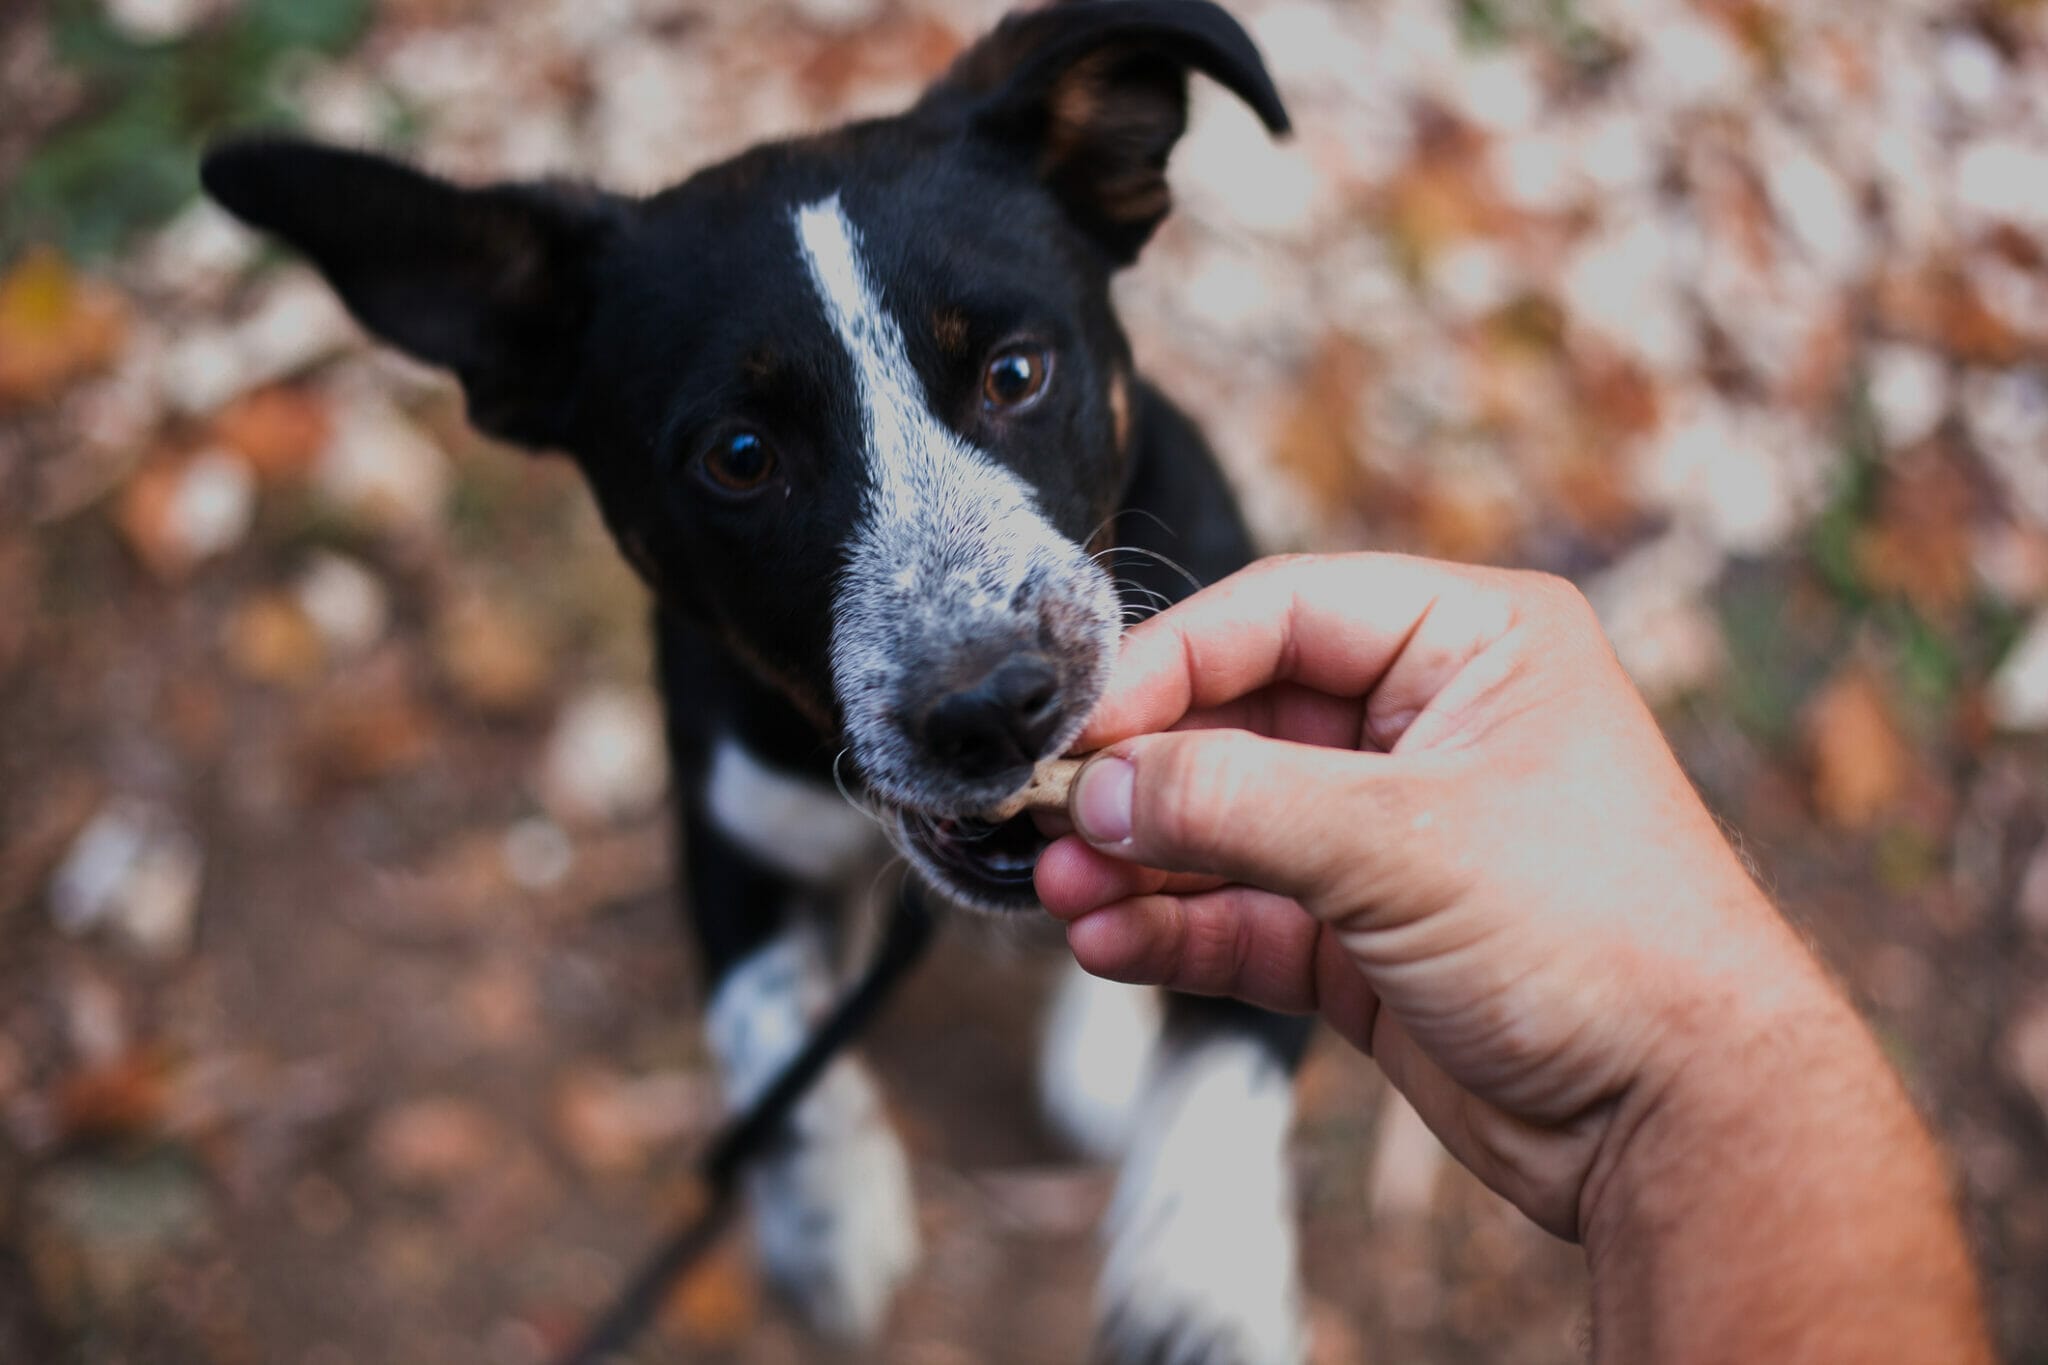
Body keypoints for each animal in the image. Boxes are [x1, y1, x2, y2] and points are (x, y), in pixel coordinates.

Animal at [203, 5, 1310, 1358]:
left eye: (1013, 373)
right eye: (739, 455)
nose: (994, 707)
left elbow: (1226, 1065)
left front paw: (1195, 1286)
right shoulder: (732, 823)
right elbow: (764, 1020)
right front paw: (828, 1223)